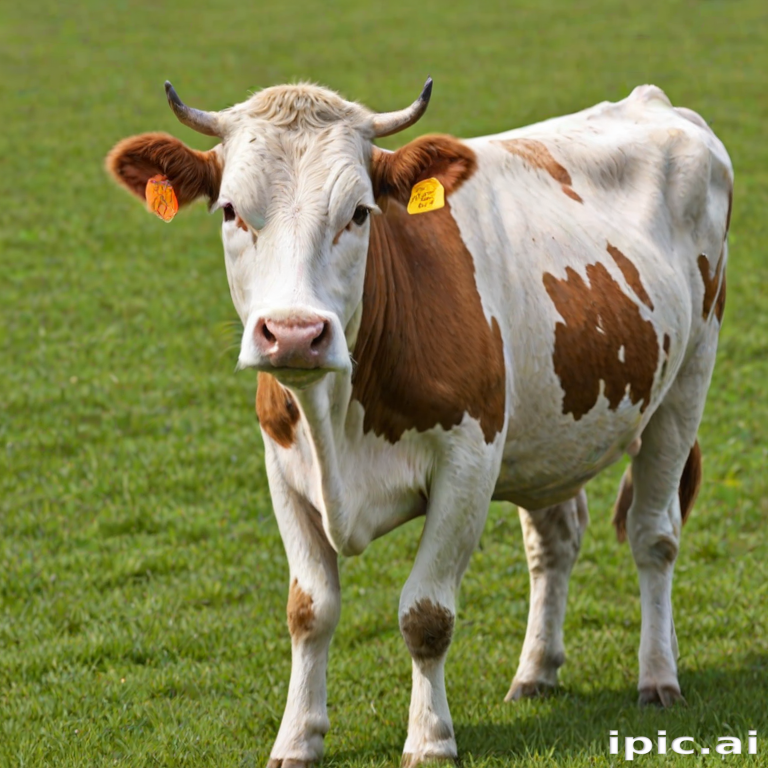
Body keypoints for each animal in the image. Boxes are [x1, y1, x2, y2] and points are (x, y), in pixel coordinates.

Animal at [106, 78, 733, 766]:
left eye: (358, 213)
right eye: (229, 211)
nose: (294, 334)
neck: (338, 419)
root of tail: (656, 101)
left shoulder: (469, 463)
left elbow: (426, 615)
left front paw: (430, 738)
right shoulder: (282, 466)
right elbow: (309, 610)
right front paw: (297, 737)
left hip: (688, 381)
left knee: (654, 535)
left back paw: (658, 677)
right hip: (550, 432)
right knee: (555, 540)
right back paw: (536, 671)